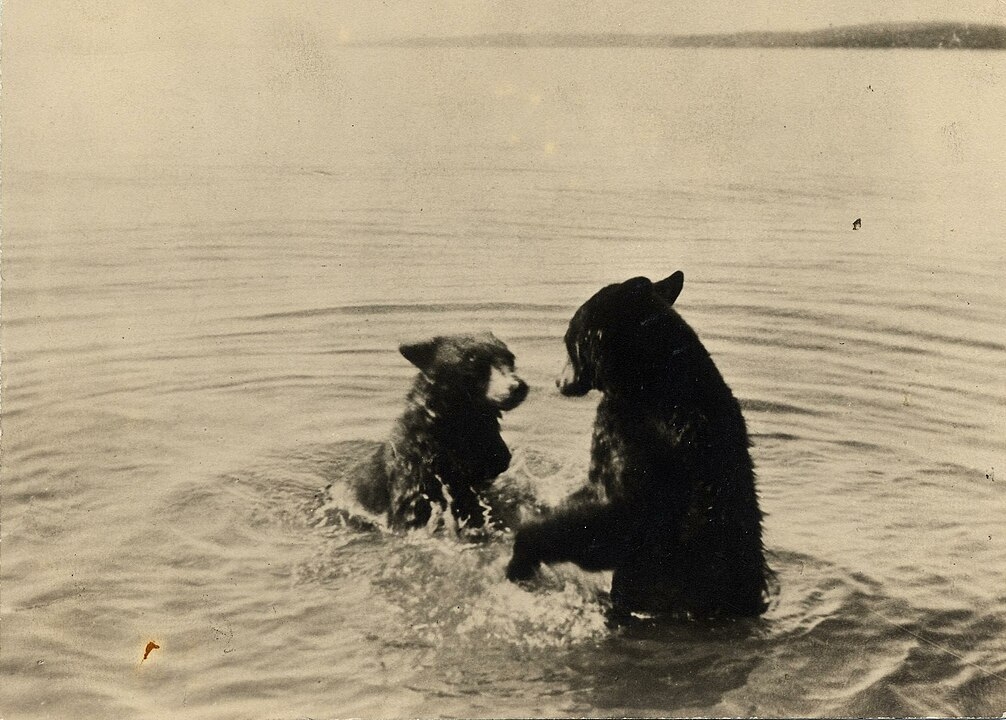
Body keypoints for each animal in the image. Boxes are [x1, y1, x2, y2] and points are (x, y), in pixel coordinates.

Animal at [507, 271, 772, 619]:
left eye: (568, 341)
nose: (557, 381)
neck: (652, 376)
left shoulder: (639, 438)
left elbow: (620, 518)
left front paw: (523, 549)